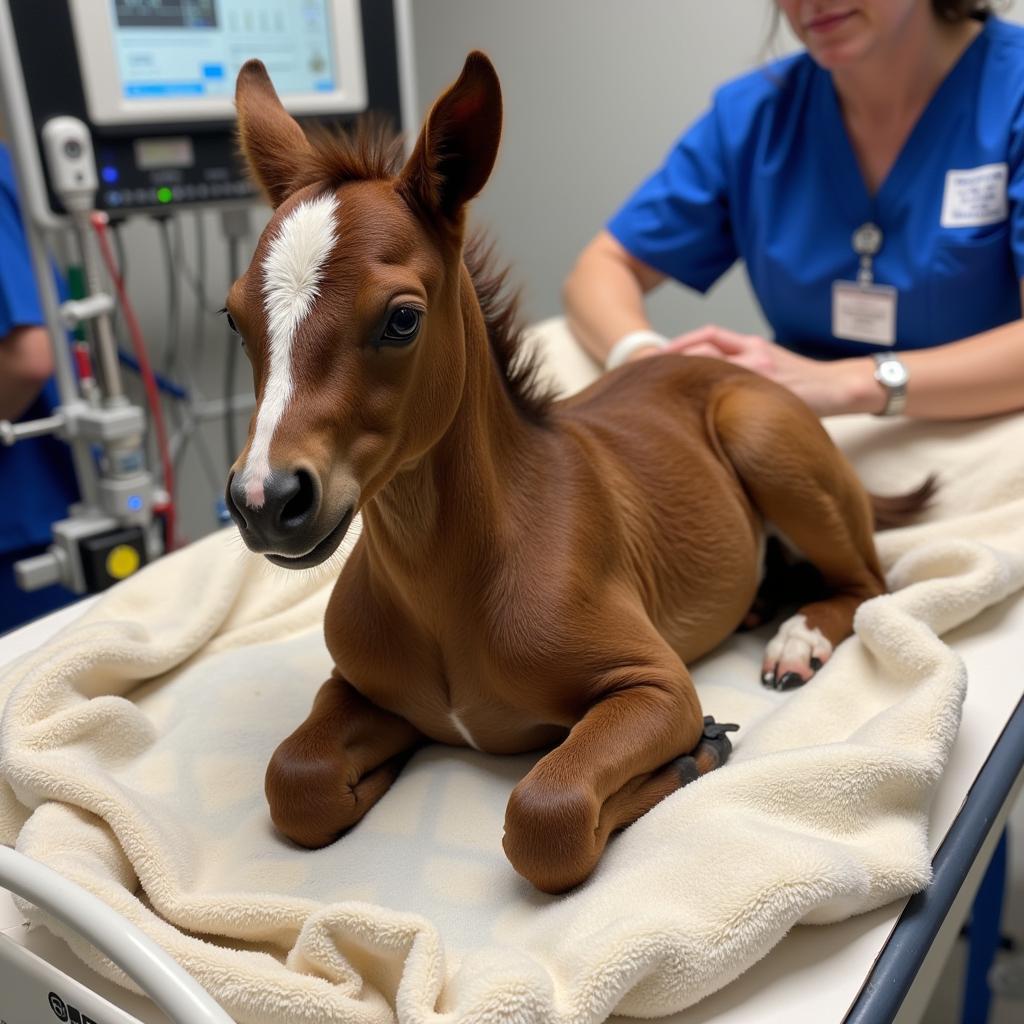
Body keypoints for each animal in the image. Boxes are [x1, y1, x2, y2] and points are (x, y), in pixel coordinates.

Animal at [228, 51, 901, 892]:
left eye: (402, 318)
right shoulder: (354, 683)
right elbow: (297, 780)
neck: (444, 583)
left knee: (869, 582)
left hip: (763, 437)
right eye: (234, 319)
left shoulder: (656, 685)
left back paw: (795, 640)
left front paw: (699, 752)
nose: (264, 500)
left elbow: (546, 813)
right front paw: (372, 772)